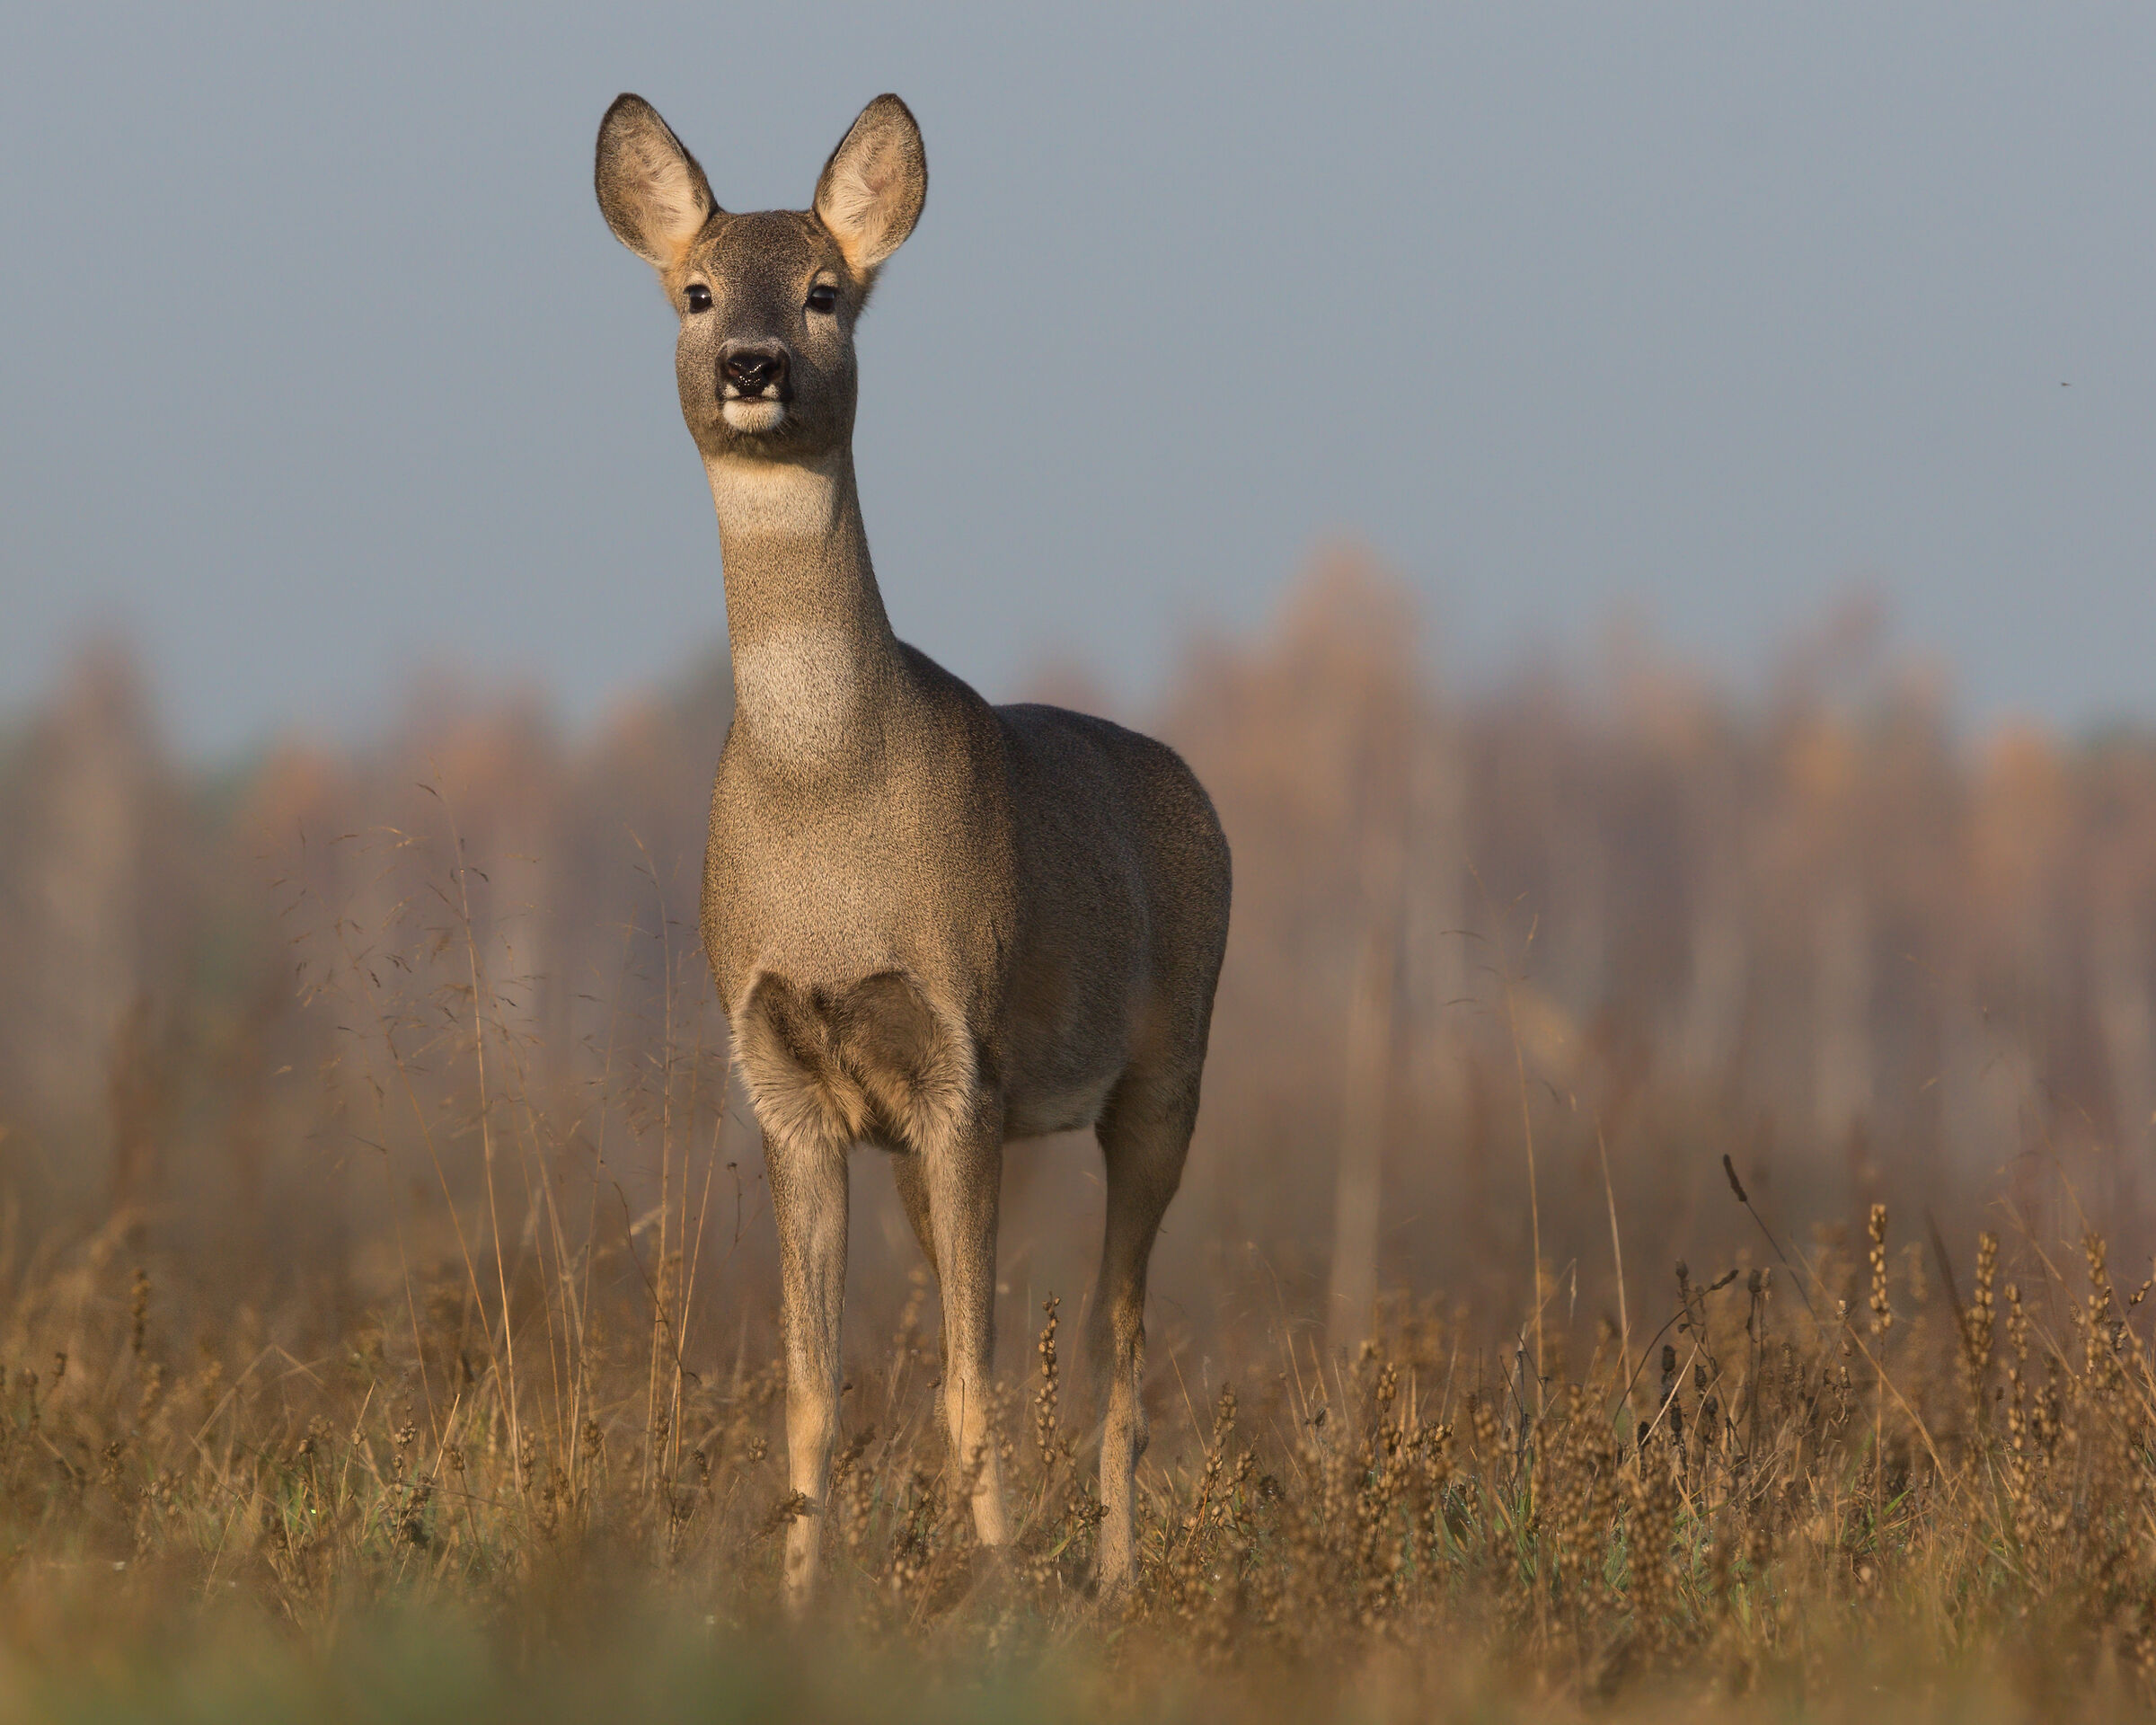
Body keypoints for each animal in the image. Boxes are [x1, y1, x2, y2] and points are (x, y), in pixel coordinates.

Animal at [594, 92, 1232, 1605]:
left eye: (828, 291)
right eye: (697, 292)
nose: (755, 363)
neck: (830, 809)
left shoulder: (964, 1062)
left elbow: (973, 1383)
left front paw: (998, 1603)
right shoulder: (784, 1076)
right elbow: (812, 1389)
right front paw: (797, 1604)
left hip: (1167, 1069)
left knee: (1120, 1342)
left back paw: (1115, 1579)